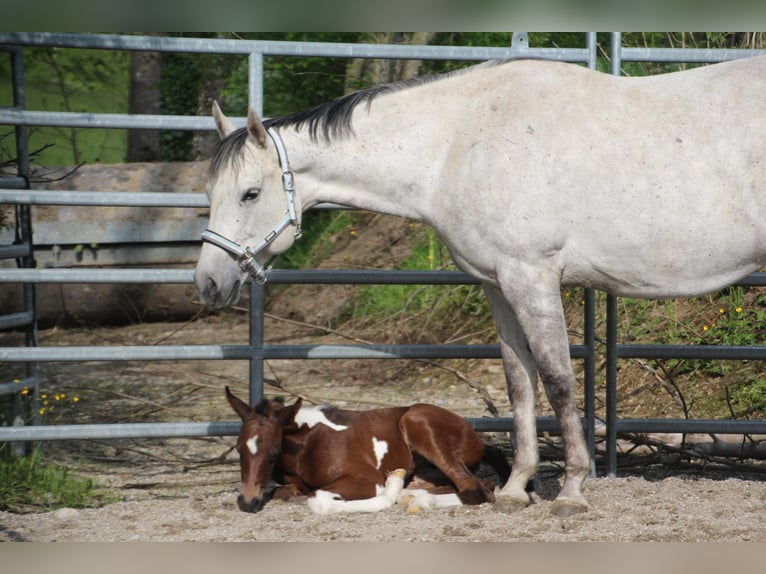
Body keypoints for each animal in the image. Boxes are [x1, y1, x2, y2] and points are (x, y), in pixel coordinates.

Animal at [224, 387, 511, 514]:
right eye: (238, 449)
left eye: (273, 452)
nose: (247, 502)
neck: (304, 446)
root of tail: (475, 435)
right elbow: (280, 491)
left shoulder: (365, 479)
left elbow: (319, 501)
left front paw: (389, 491)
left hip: (417, 420)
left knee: (476, 489)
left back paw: (412, 497)